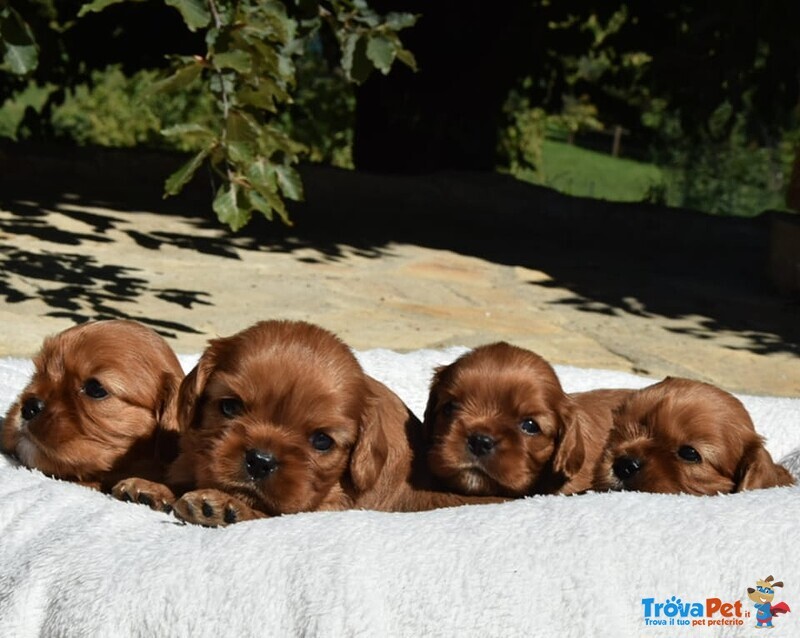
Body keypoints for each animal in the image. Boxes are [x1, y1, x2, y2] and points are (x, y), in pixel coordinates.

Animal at [117, 322, 506, 528]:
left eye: (322, 441)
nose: (260, 460)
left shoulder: (329, 509)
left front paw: (223, 506)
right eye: (229, 407)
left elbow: (273, 513)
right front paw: (150, 487)